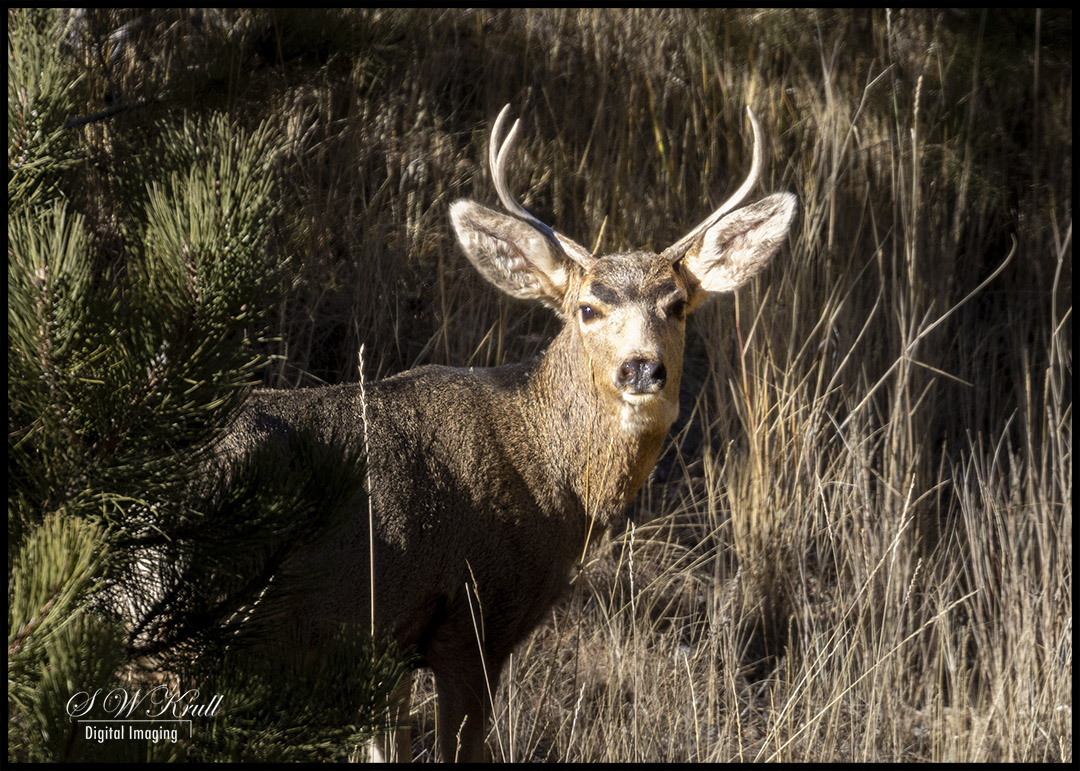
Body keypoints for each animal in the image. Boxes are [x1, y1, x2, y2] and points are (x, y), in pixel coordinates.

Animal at [218, 104, 797, 761]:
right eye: (588, 308)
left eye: (676, 305)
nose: (643, 368)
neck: (545, 472)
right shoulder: (476, 617)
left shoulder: (388, 643)